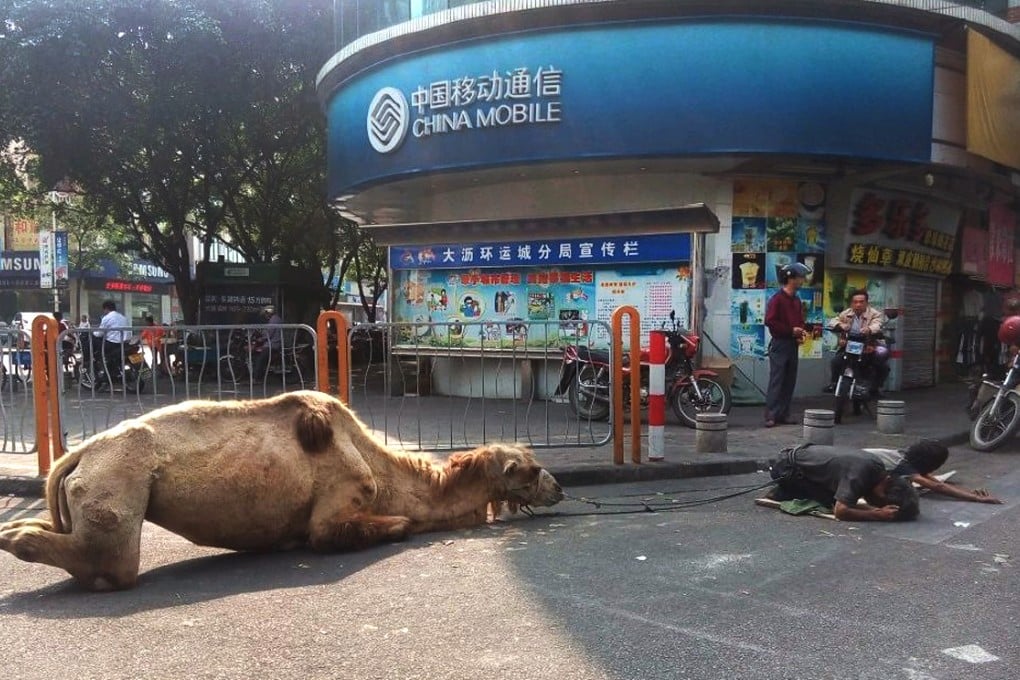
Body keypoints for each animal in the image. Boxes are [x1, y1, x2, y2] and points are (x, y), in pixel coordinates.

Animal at [0, 390, 563, 591]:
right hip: (119, 480)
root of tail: (77, 455)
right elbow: (388, 527)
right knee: (111, 565)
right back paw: (18, 540)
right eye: (533, 469)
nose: (559, 489)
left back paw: (16, 528)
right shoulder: (340, 503)